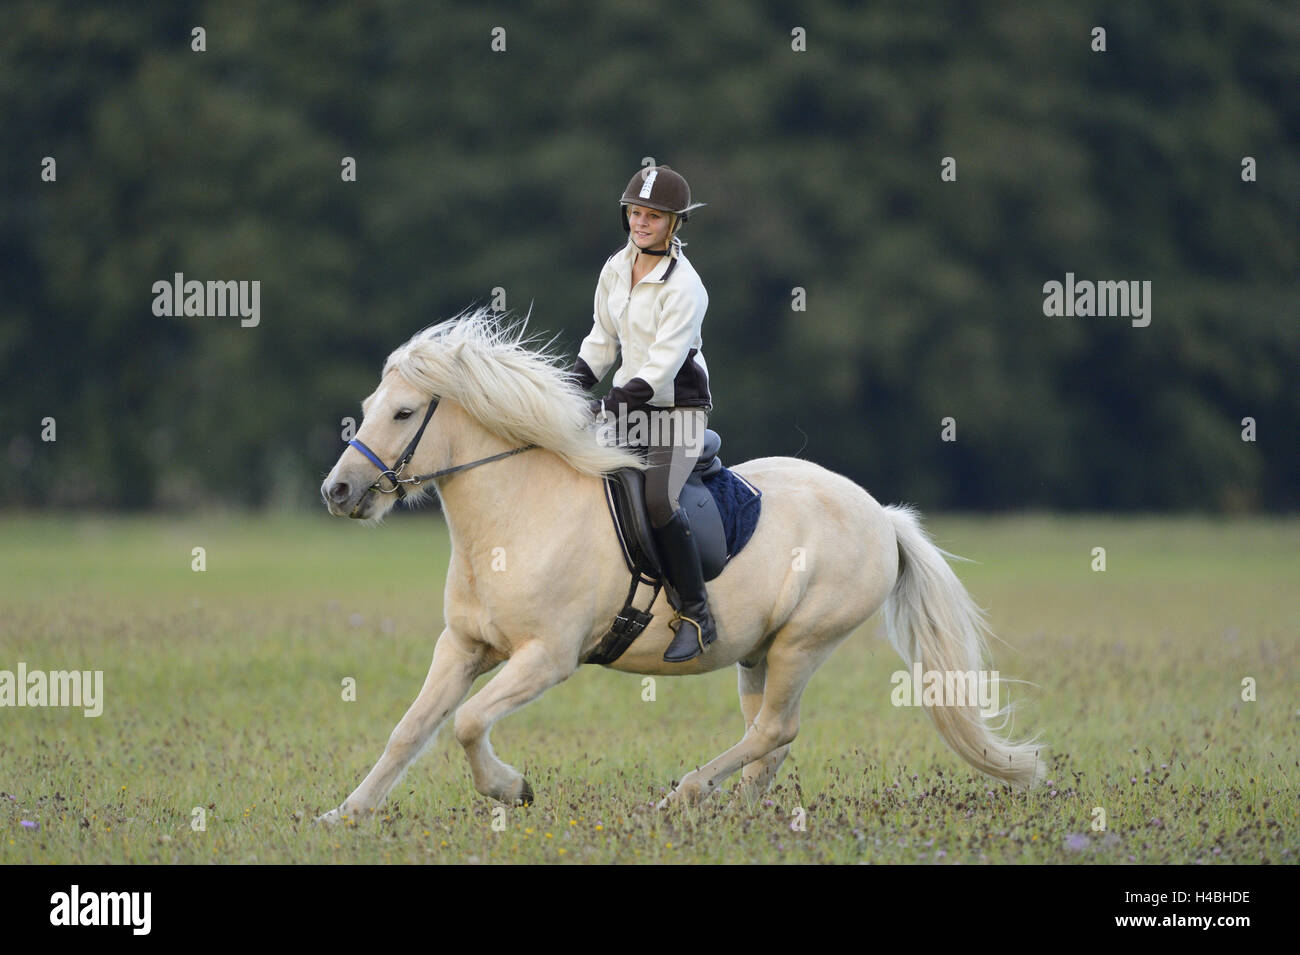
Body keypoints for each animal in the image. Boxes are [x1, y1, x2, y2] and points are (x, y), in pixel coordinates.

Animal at [317, 311, 1045, 821]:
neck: (514, 520)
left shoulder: (547, 657)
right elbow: (409, 729)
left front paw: (512, 788)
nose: (339, 491)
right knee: (769, 738)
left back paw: (681, 799)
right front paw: (347, 813)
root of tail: (881, 517)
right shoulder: (464, 646)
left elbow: (467, 722)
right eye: (372, 406)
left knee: (775, 728)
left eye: (404, 412)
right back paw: (732, 812)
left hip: (805, 641)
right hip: (761, 650)